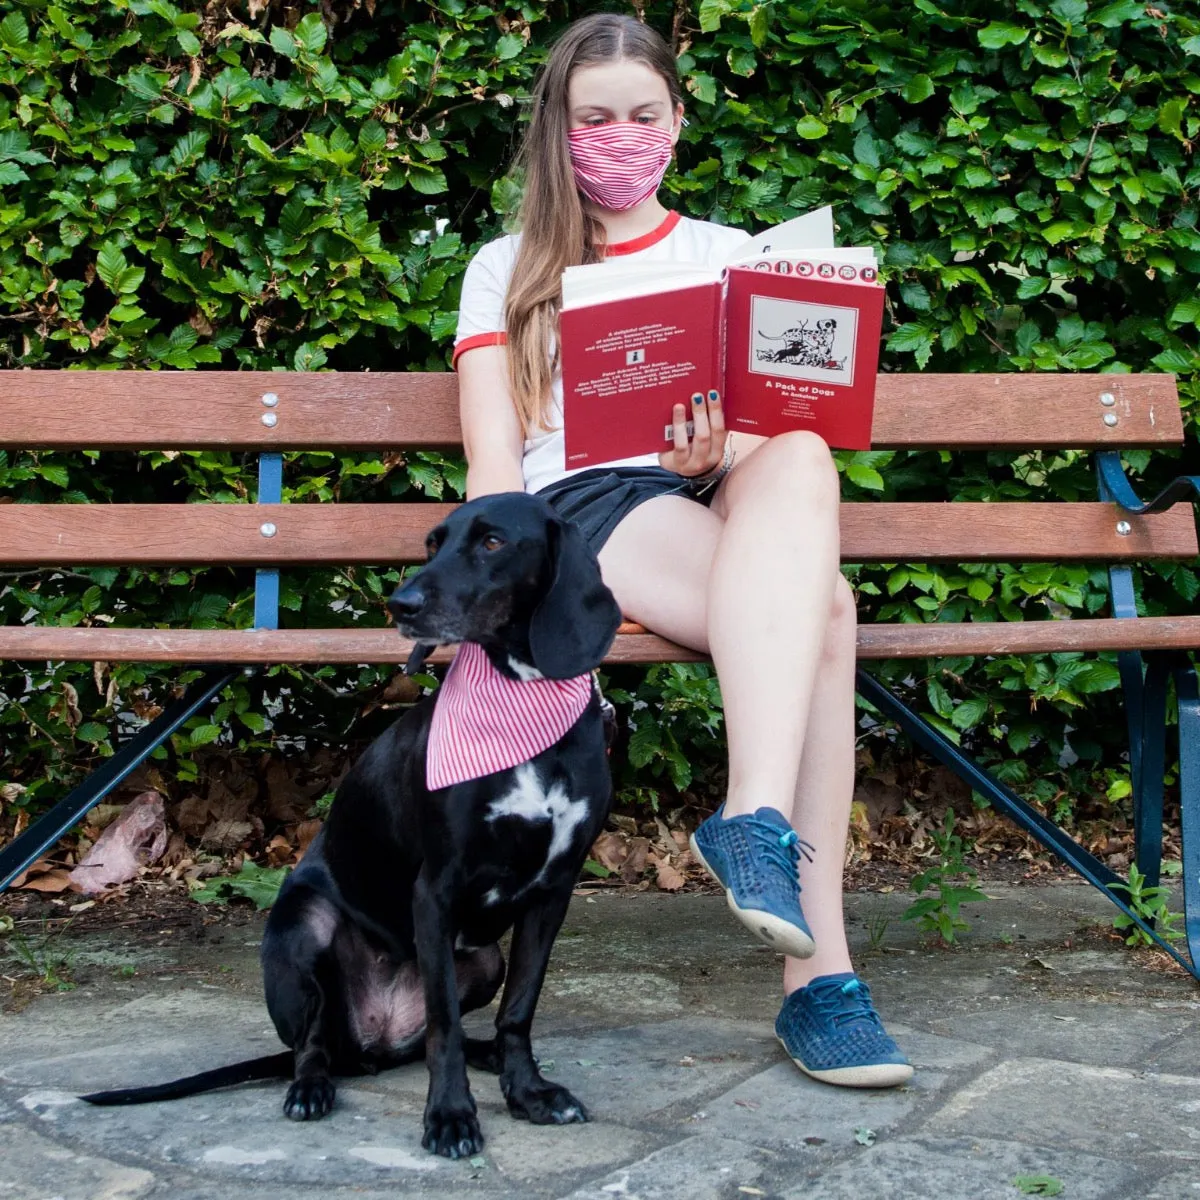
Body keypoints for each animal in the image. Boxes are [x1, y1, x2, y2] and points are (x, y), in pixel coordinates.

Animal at [81, 492, 624, 1156]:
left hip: (482, 959)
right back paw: (312, 1088)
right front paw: (450, 1116)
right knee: (312, 1044)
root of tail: (369, 1044)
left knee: (423, 1036)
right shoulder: (436, 890)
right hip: (301, 931)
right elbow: (443, 1021)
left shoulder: (552, 892)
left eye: (493, 542)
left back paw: (486, 1054)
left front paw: (528, 1093)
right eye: (432, 543)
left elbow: (518, 1010)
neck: (526, 708)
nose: (402, 604)